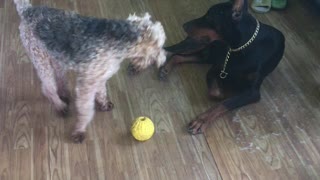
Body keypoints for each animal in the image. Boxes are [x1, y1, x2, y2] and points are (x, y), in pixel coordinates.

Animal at [13, 0, 166, 143]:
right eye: (158, 45)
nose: (163, 60)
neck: (120, 42)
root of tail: (27, 10)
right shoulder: (86, 85)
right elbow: (86, 110)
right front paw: (79, 131)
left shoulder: (99, 76)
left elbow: (102, 92)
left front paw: (104, 104)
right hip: (40, 59)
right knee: (48, 88)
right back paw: (60, 106)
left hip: (55, 57)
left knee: (59, 77)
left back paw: (64, 93)